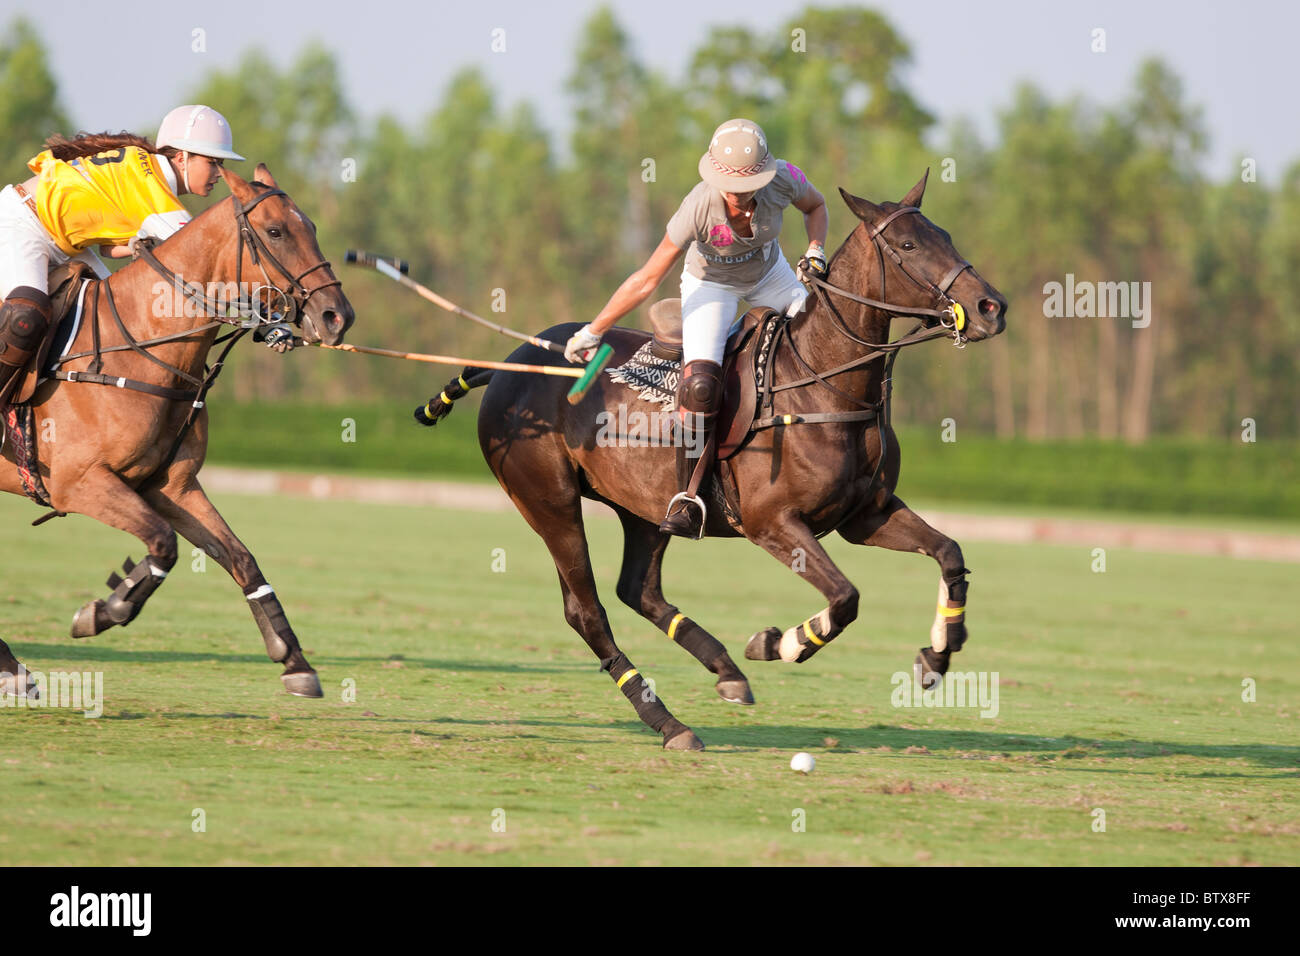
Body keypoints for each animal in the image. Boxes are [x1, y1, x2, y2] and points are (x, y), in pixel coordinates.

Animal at [0, 164, 353, 697]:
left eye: (310, 225)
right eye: (275, 231)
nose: (338, 317)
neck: (142, 347)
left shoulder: (172, 486)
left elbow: (240, 557)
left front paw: (295, 662)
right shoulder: (78, 483)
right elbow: (163, 543)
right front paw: (103, 609)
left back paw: (13, 672)